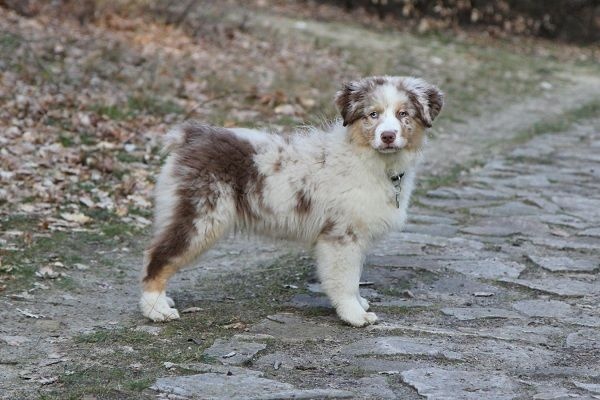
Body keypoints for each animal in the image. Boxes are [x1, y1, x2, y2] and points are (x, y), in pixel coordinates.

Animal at [139, 76, 440, 326]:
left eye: (403, 114)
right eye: (372, 115)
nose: (388, 136)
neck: (370, 161)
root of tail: (191, 136)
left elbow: (354, 279)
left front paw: (359, 303)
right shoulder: (341, 236)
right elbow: (345, 280)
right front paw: (354, 315)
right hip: (201, 216)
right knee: (159, 257)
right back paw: (156, 309)